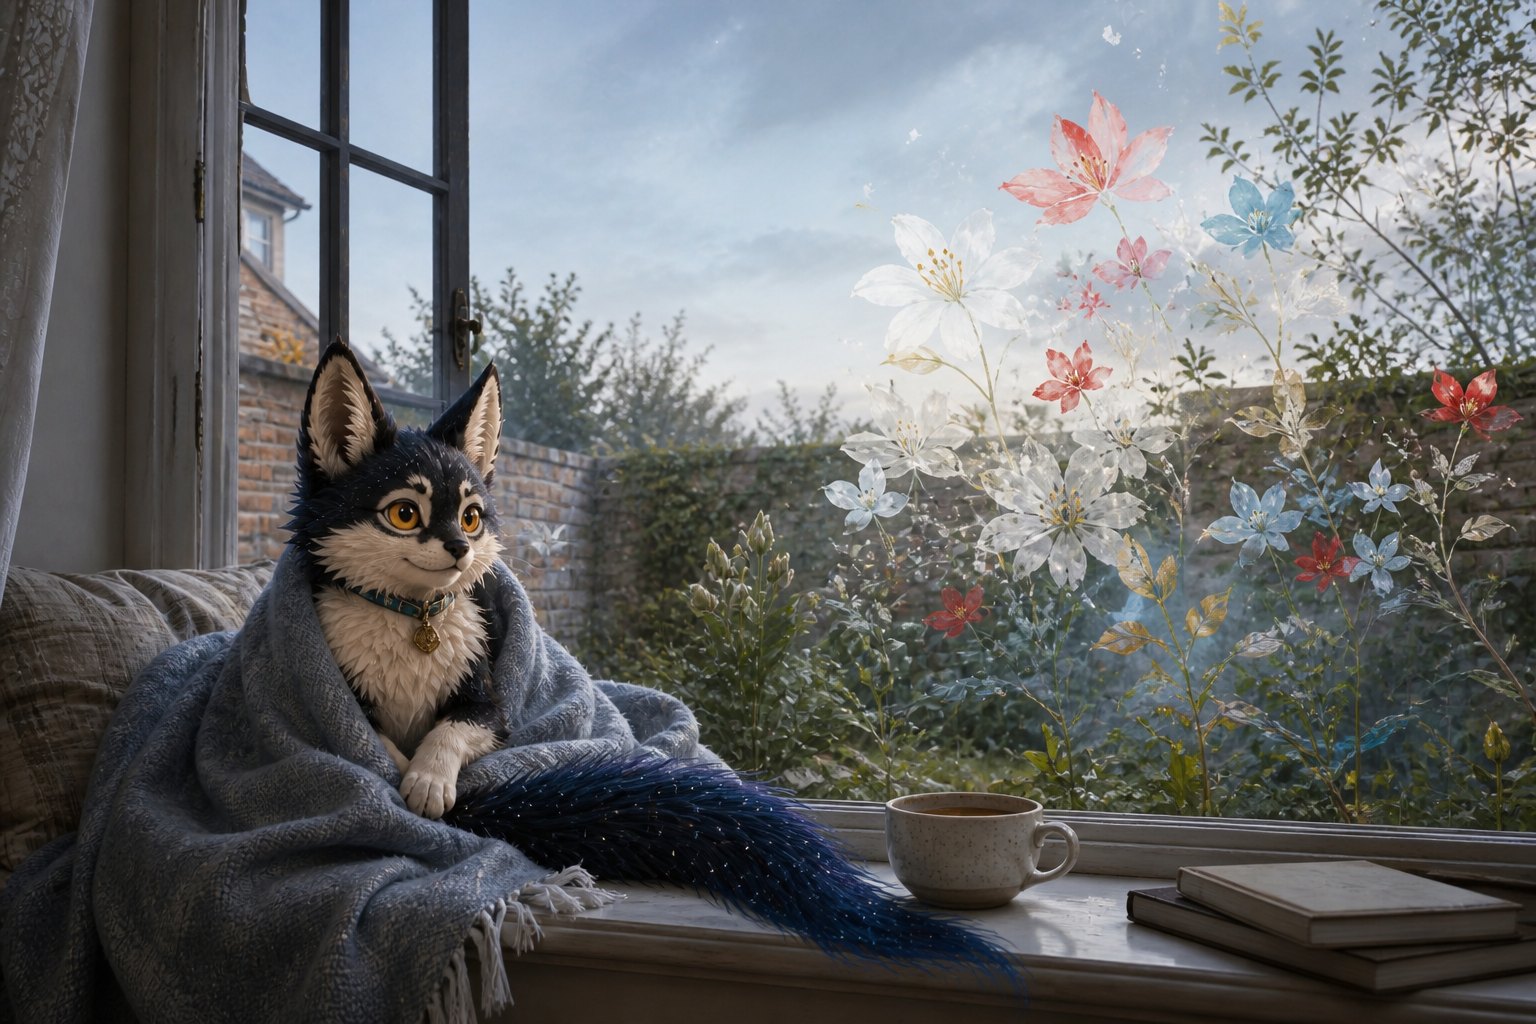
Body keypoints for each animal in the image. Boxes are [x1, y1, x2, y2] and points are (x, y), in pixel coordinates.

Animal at [288, 339, 508, 818]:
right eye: (405, 513)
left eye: (470, 518)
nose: (460, 547)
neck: (413, 611)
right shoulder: (343, 710)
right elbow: (379, 745)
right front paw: (410, 777)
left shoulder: (491, 710)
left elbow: (448, 728)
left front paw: (428, 778)